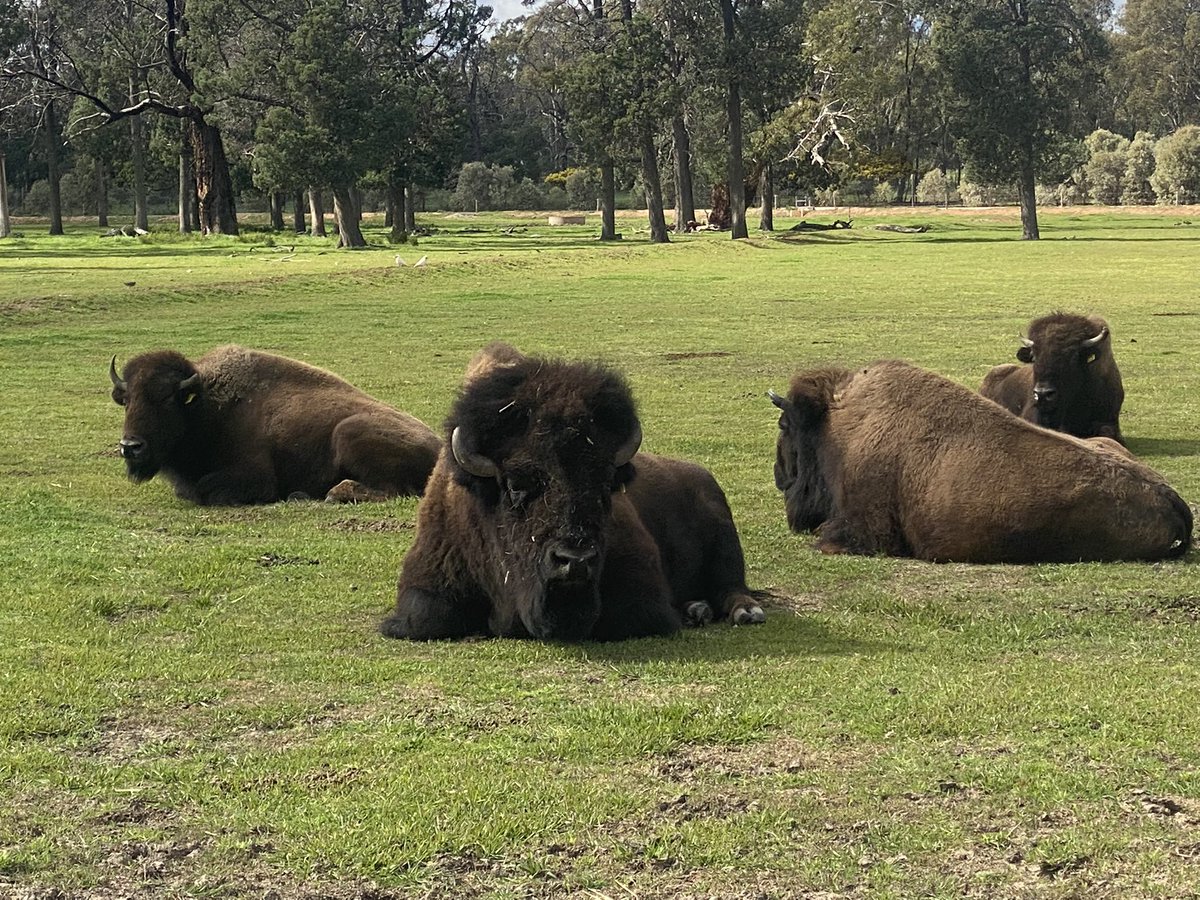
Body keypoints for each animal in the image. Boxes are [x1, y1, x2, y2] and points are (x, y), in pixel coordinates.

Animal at [109, 345, 440, 505]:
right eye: (127, 400)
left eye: (167, 399)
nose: (130, 447)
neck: (204, 405)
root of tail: (439, 446)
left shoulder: (256, 476)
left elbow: (206, 491)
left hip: (348, 434)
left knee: (393, 490)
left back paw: (325, 495)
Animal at [381, 343, 767, 641]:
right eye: (516, 485)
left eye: (606, 484)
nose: (575, 561)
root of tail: (701, 476)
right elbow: (426, 618)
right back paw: (696, 609)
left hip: (726, 542)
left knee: (732, 586)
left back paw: (745, 612)